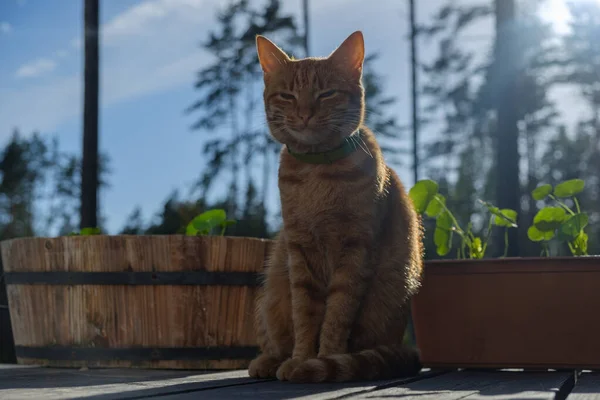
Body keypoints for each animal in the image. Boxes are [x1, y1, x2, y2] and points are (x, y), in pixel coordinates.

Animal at [246, 29, 424, 382]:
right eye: (287, 96)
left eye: (326, 94)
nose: (304, 113)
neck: (317, 172)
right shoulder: (299, 251)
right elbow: (304, 314)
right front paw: (301, 358)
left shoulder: (356, 250)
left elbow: (337, 314)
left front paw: (323, 359)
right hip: (272, 291)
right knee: (276, 338)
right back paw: (269, 361)